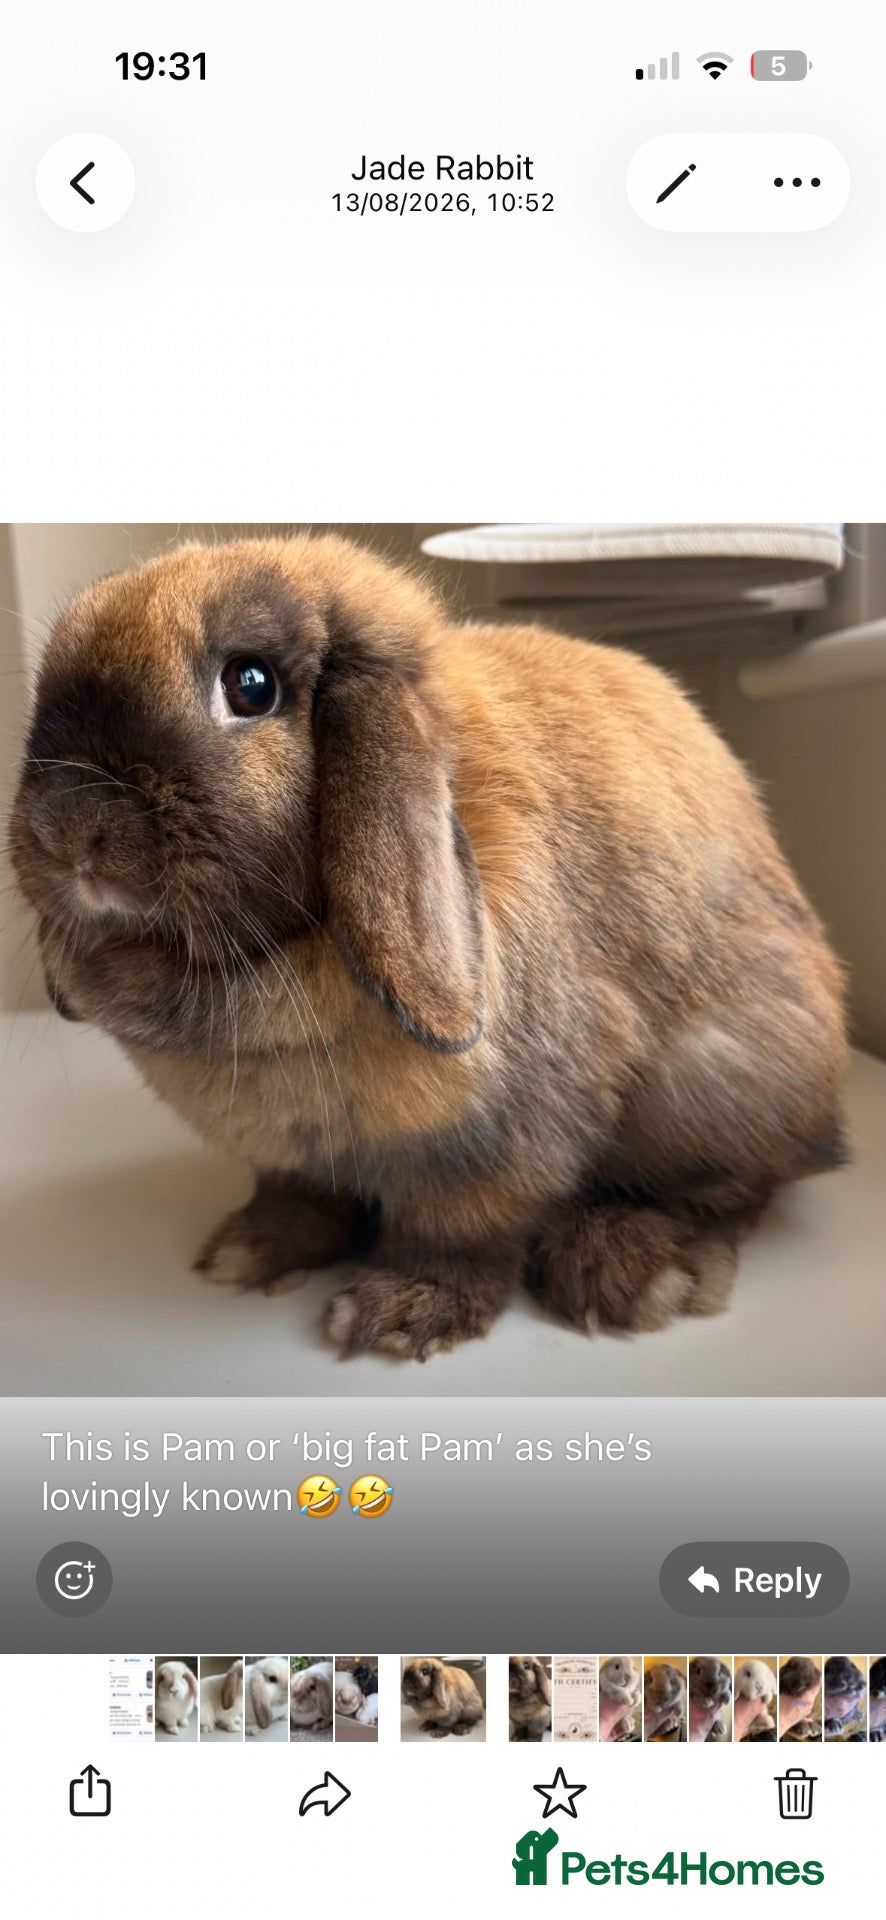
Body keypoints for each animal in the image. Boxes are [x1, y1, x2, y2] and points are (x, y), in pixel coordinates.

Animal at [10, 535, 848, 1360]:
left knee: (728, 1192)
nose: (71, 828)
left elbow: (459, 1231)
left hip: (721, 1079)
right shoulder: (290, 1159)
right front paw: (248, 1253)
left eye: (250, 686)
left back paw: (627, 1271)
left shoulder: (502, 1144)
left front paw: (402, 1311)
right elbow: (294, 1200)